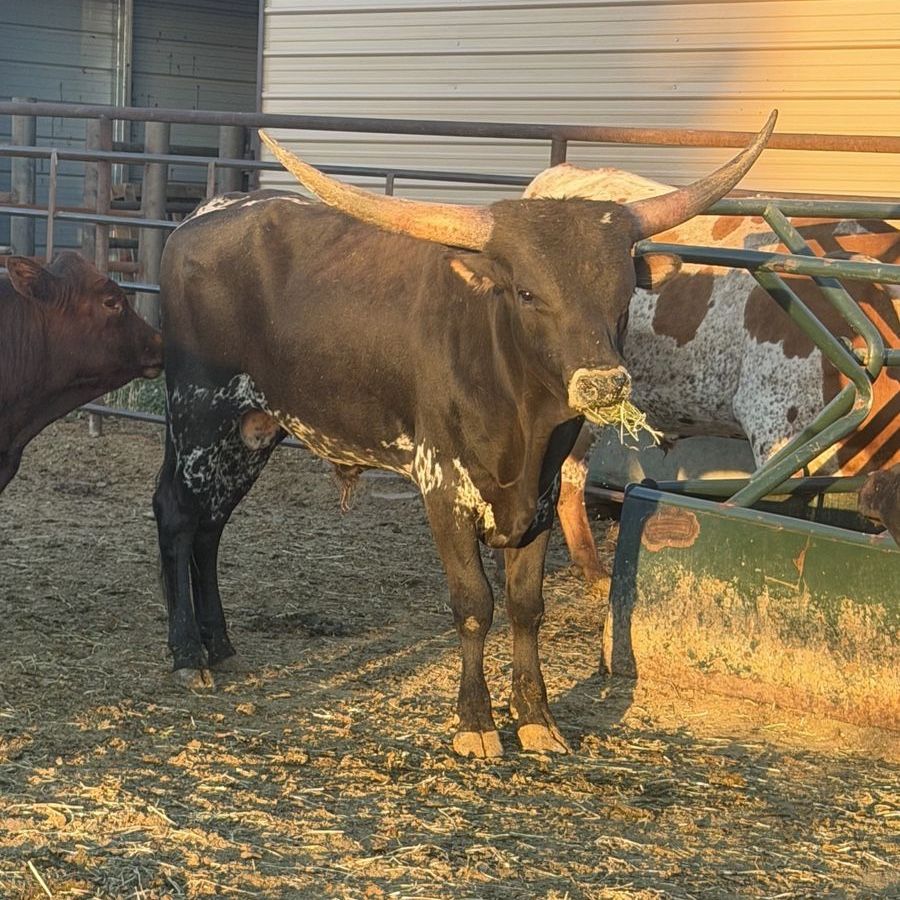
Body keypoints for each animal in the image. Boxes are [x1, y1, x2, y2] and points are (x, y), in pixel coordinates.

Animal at [152, 113, 775, 758]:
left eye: (624, 293)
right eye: (527, 292)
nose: (603, 384)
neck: (521, 421)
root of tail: (207, 215)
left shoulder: (539, 500)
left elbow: (526, 606)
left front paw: (536, 717)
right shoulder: (443, 490)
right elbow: (475, 604)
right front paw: (475, 722)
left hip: (249, 430)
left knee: (211, 526)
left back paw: (220, 643)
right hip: (200, 415)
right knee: (178, 513)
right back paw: (188, 653)